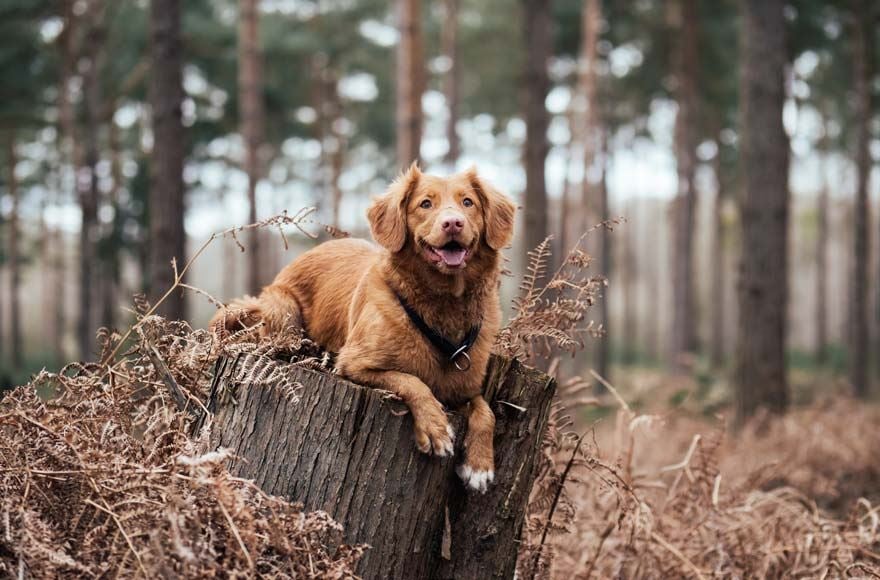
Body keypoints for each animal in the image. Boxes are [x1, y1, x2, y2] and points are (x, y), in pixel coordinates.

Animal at [211, 164, 516, 494]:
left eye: (468, 202)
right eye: (425, 204)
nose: (453, 223)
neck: (443, 305)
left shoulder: (464, 388)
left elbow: (485, 411)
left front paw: (480, 466)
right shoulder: (354, 364)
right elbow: (412, 381)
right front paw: (435, 427)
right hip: (283, 311)